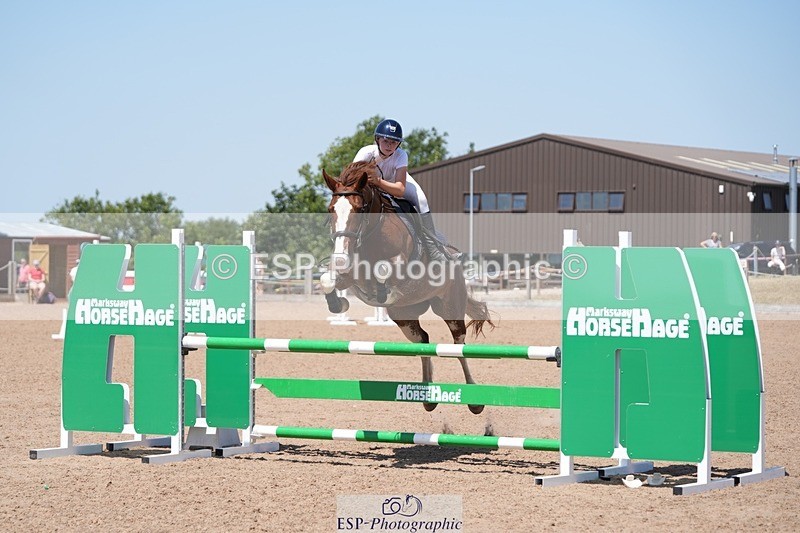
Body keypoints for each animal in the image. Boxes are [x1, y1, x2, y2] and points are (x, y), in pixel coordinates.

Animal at [320, 160, 494, 414]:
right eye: (331, 209)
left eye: (359, 209)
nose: (341, 258)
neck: (372, 234)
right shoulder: (351, 276)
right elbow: (327, 279)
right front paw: (338, 304)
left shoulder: (400, 265)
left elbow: (382, 270)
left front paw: (383, 292)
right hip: (405, 318)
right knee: (423, 340)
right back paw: (427, 397)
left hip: (450, 308)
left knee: (458, 345)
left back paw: (474, 401)